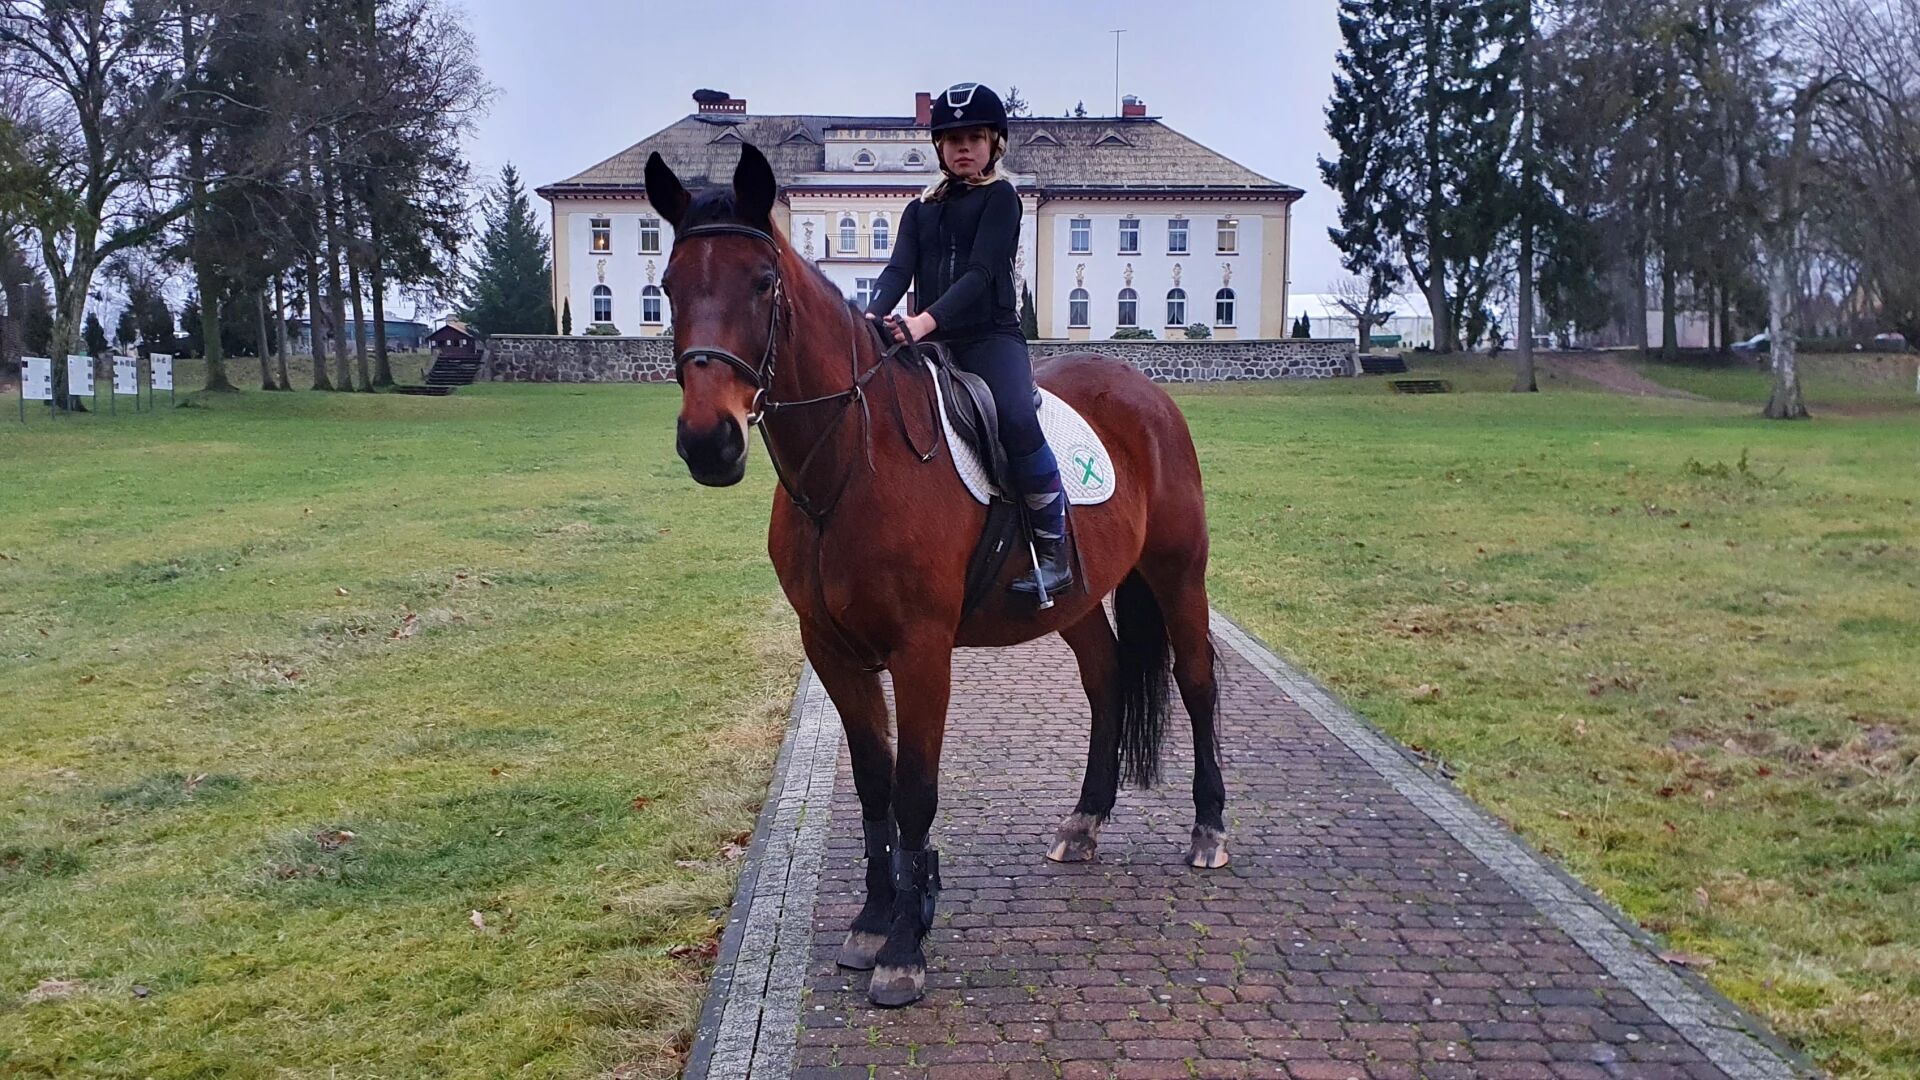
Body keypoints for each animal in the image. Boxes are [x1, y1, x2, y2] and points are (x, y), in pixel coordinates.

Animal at [648, 143, 1225, 1008]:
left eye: (763, 282)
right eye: (669, 286)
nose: (708, 442)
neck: (853, 459)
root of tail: (1144, 390)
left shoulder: (922, 652)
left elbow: (916, 788)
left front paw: (905, 945)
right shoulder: (832, 651)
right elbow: (874, 785)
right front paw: (872, 919)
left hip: (1178, 574)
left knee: (1196, 684)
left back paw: (1209, 829)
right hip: (1076, 602)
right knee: (1106, 680)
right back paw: (1085, 821)